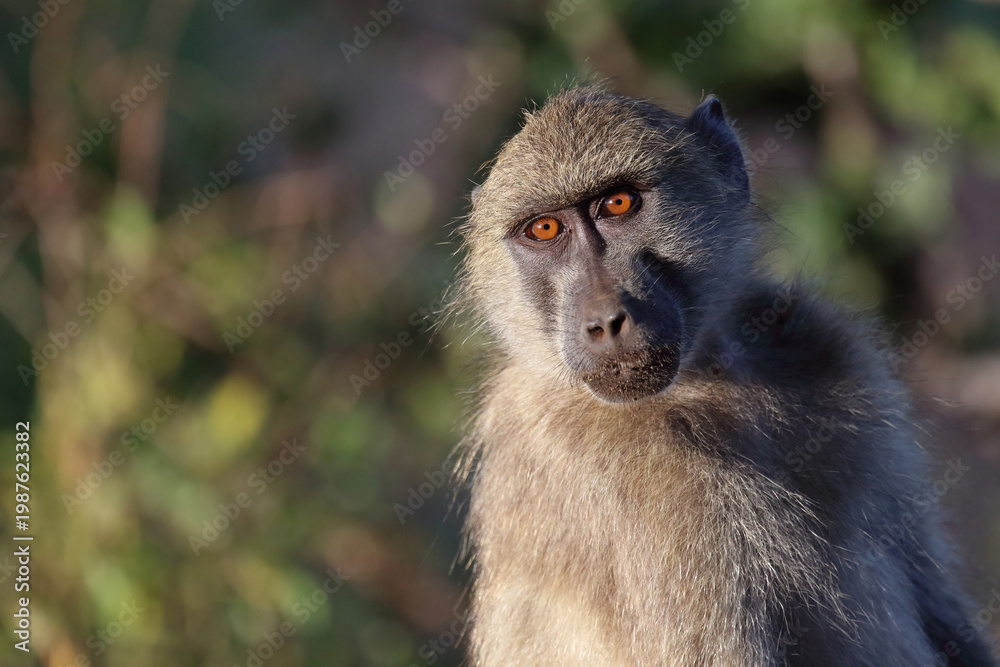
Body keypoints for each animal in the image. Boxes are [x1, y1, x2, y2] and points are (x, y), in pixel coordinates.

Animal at [450, 87, 998, 666]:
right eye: (544, 229)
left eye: (618, 203)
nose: (604, 321)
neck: (705, 374)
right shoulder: (643, 489)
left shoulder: (824, 347)